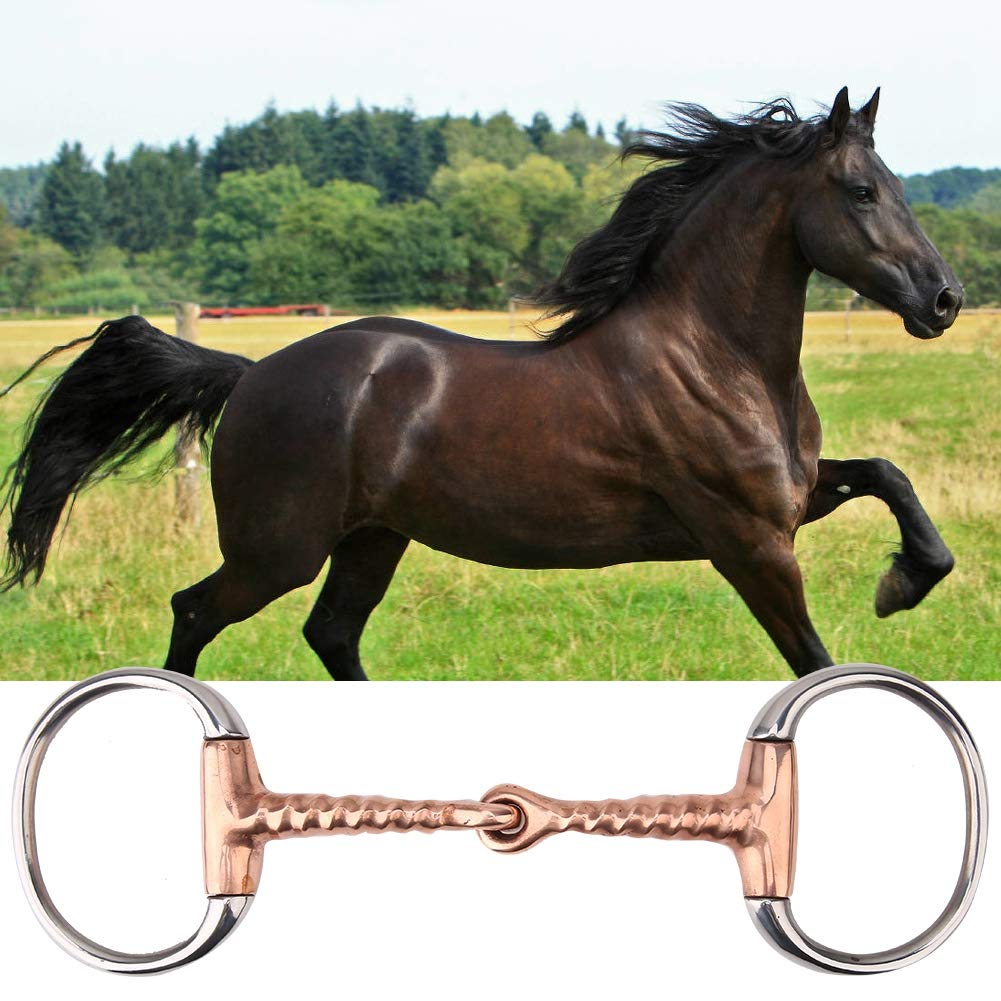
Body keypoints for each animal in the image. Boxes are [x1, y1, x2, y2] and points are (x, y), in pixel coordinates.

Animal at [1, 87, 962, 680]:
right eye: (859, 189)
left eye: (897, 185)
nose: (943, 299)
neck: (713, 359)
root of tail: (250, 374)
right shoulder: (750, 541)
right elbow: (814, 661)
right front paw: (895, 590)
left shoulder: (791, 502)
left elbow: (887, 477)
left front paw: (903, 580)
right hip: (279, 549)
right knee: (196, 612)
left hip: (371, 538)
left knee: (329, 632)